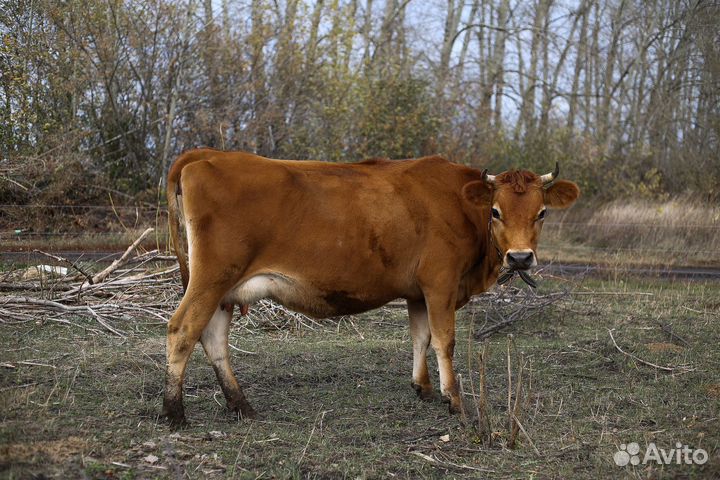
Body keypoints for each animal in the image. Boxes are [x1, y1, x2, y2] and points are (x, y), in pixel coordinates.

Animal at [162, 149, 580, 426]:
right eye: (495, 211)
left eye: (542, 213)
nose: (520, 258)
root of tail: (209, 155)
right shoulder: (440, 283)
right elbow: (444, 340)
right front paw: (455, 399)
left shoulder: (417, 292)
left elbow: (421, 336)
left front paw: (423, 387)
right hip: (211, 278)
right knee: (183, 330)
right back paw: (173, 410)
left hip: (224, 289)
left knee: (213, 337)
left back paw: (240, 405)